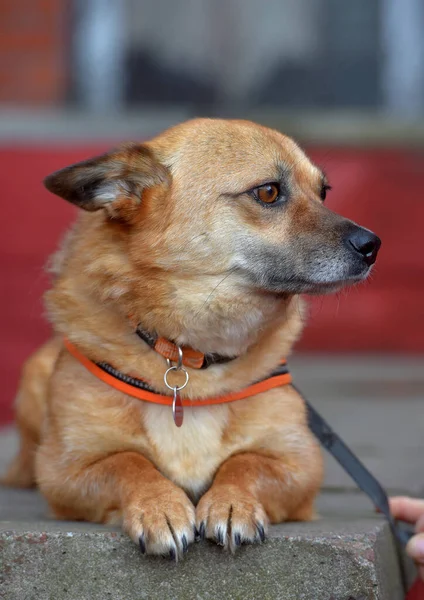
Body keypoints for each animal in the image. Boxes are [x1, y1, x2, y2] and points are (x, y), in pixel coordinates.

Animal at [1, 117, 380, 556]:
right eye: (268, 191)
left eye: (323, 192)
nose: (373, 245)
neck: (192, 355)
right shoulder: (65, 470)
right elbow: (128, 462)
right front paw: (160, 506)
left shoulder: (299, 464)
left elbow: (244, 462)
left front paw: (231, 503)